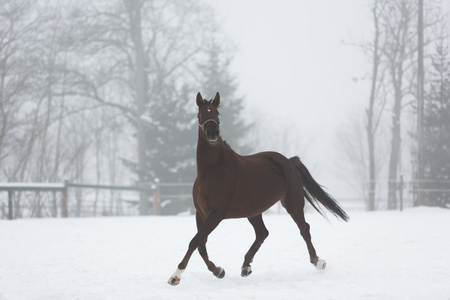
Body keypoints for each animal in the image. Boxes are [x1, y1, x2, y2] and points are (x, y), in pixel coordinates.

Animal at [168, 92, 348, 284]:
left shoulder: (216, 215)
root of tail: (289, 162)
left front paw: (176, 275)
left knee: (304, 229)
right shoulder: (200, 213)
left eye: (217, 114)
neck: (212, 172)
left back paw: (318, 262)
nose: (212, 133)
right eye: (200, 114)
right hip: (254, 211)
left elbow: (195, 241)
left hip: (292, 203)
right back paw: (246, 267)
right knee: (262, 233)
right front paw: (218, 271)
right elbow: (200, 244)